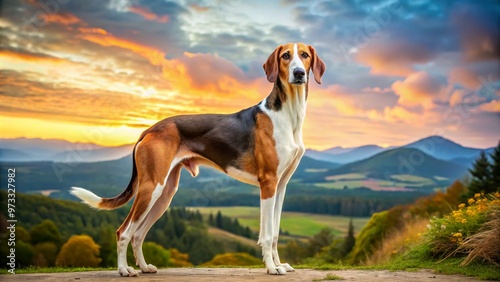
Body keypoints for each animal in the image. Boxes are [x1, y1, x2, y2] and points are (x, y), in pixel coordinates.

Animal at [72, 43, 326, 276]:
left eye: (304, 55)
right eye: (286, 56)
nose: (299, 73)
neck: (288, 114)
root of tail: (149, 130)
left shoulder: (280, 187)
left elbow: (275, 232)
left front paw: (280, 264)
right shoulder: (268, 184)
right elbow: (266, 233)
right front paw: (272, 268)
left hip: (164, 195)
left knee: (138, 234)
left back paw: (144, 267)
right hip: (151, 188)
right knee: (124, 231)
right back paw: (124, 270)